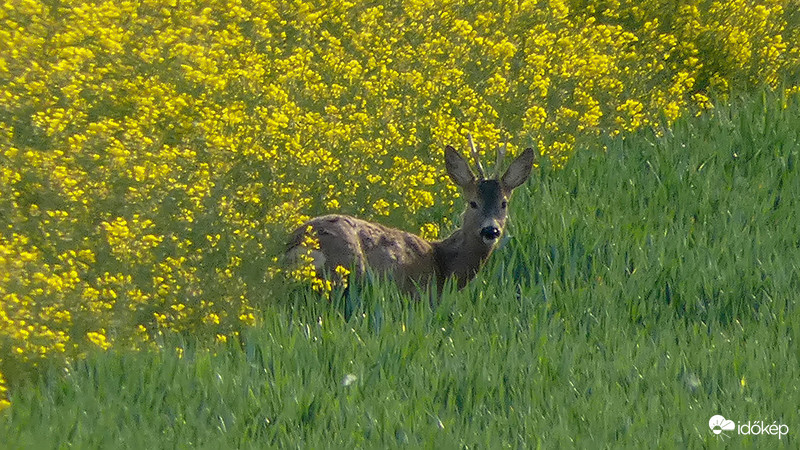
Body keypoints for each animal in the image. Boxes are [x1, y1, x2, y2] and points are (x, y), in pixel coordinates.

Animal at [284, 140, 536, 296]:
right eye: (473, 203)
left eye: (503, 204)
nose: (490, 230)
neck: (444, 262)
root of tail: (298, 242)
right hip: (347, 268)